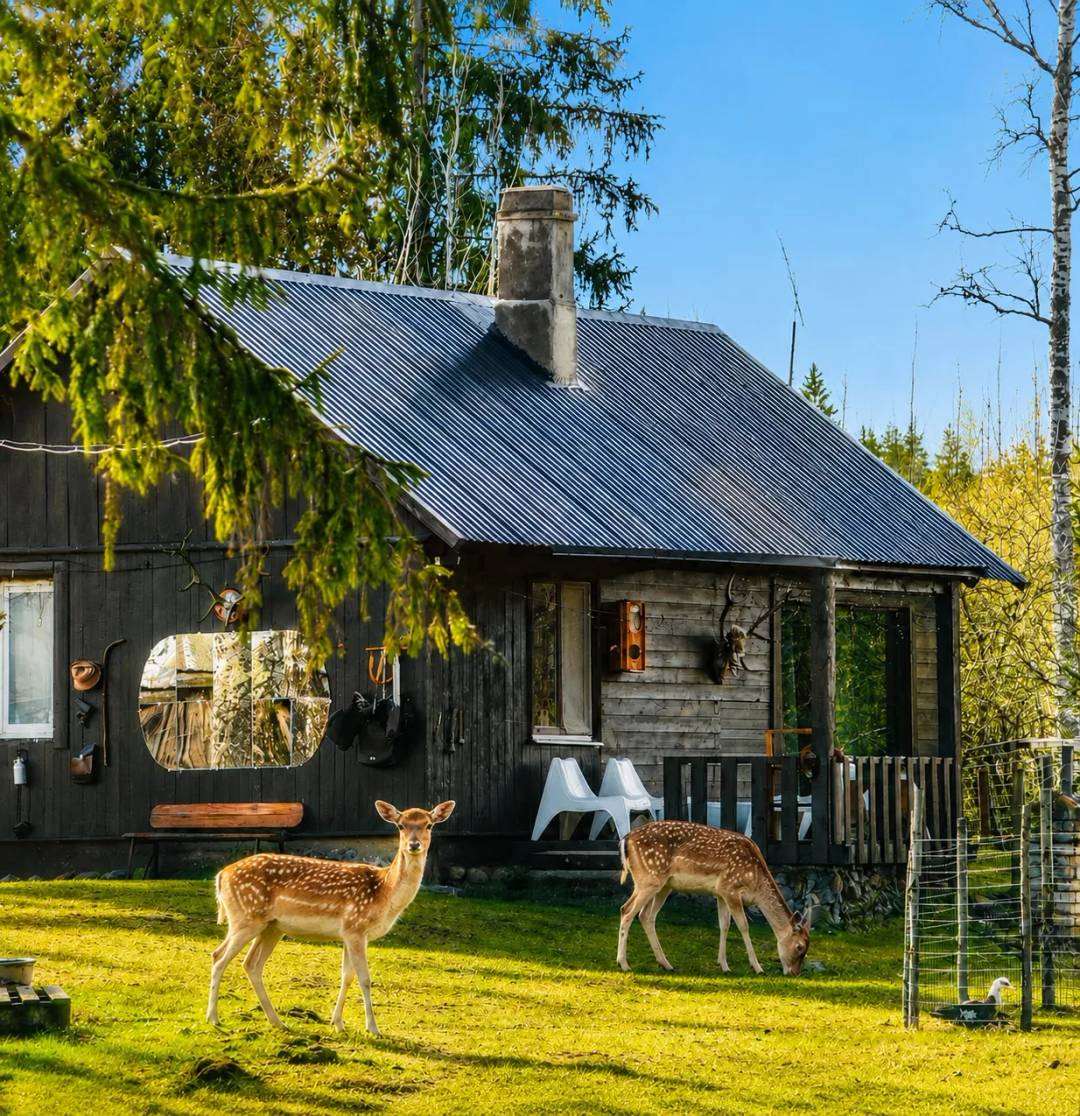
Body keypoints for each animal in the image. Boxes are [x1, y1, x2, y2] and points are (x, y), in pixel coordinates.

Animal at [207, 799, 455, 1036]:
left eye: (429, 824)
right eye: (401, 825)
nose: (414, 845)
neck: (383, 892)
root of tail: (221, 875)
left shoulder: (348, 933)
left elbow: (347, 976)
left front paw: (337, 1023)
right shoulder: (356, 927)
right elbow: (365, 978)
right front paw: (373, 1028)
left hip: (269, 927)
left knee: (250, 964)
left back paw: (277, 1022)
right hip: (246, 918)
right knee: (219, 957)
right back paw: (213, 1018)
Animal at [616, 820, 812, 976]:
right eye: (800, 947)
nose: (794, 973)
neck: (755, 885)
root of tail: (626, 839)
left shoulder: (720, 893)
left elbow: (724, 925)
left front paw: (723, 965)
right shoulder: (730, 888)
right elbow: (743, 926)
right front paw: (757, 967)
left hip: (664, 886)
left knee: (646, 915)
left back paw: (665, 964)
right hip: (648, 878)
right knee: (626, 910)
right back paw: (623, 964)